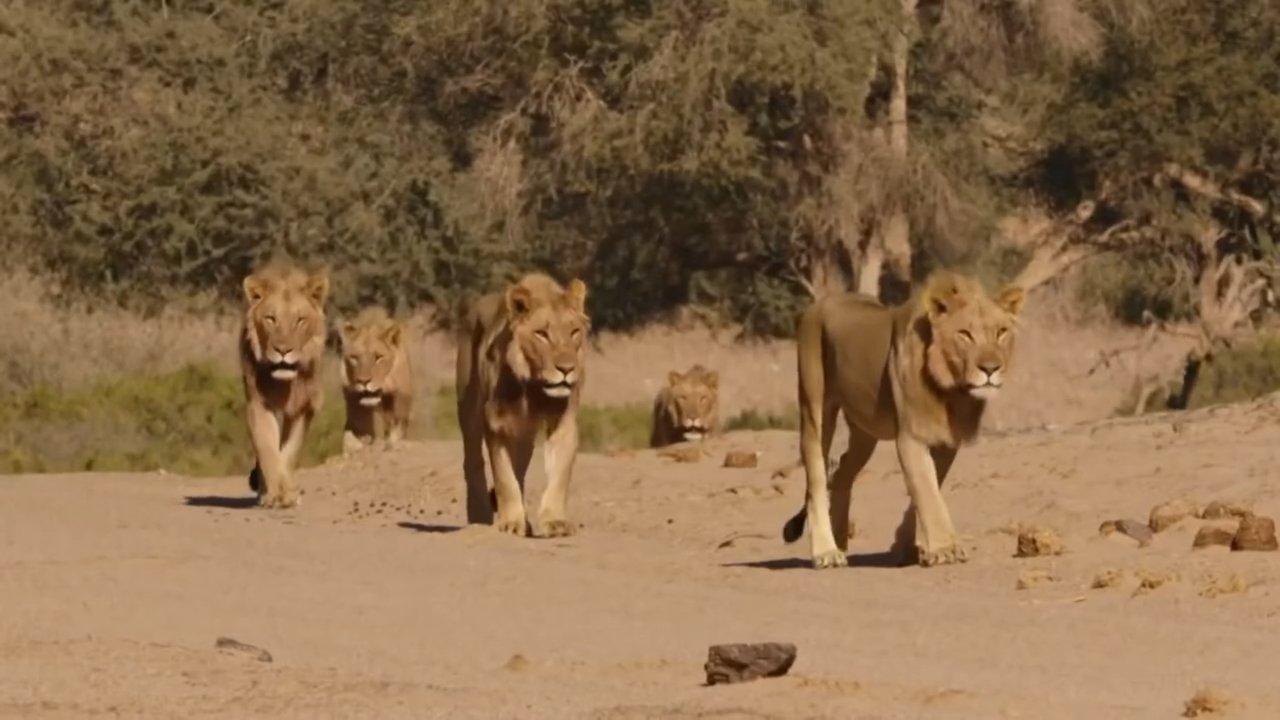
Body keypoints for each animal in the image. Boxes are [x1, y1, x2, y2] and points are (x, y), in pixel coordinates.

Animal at [240, 263, 330, 509]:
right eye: (271, 318)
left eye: (300, 320)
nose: (282, 350)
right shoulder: (258, 404)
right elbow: (268, 449)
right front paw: (273, 495)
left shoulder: (303, 407)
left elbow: (289, 452)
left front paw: (287, 494)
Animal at [455, 273, 590, 537]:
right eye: (542, 334)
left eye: (574, 332)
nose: (567, 369)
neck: (534, 386)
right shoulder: (495, 423)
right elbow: (505, 477)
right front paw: (511, 523)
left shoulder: (563, 422)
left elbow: (559, 473)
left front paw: (555, 521)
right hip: (469, 410)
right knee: (473, 462)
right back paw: (479, 516)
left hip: (523, 434)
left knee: (520, 469)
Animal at [780, 270, 1025, 569]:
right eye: (965, 334)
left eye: (1001, 332)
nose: (991, 368)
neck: (953, 391)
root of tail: (818, 305)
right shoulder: (911, 438)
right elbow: (927, 491)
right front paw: (945, 548)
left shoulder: (946, 442)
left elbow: (928, 490)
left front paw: (911, 547)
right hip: (815, 408)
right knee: (815, 478)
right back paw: (826, 552)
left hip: (865, 432)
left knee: (842, 472)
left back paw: (840, 540)